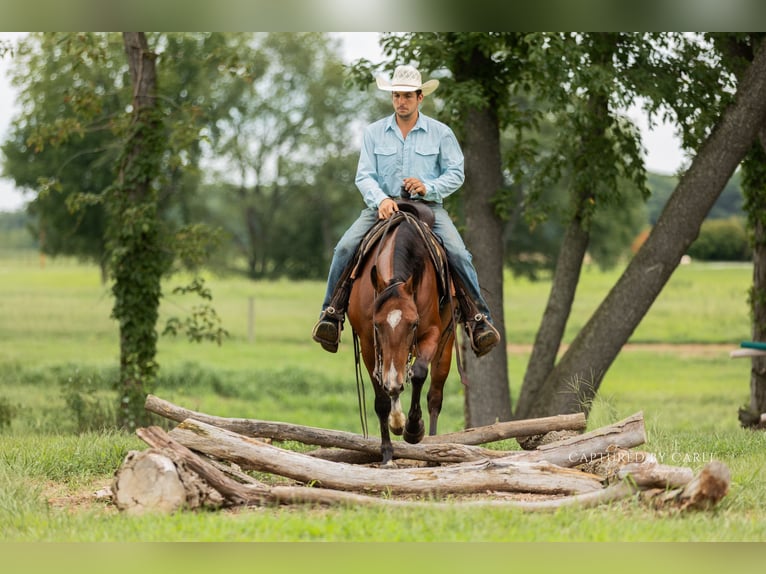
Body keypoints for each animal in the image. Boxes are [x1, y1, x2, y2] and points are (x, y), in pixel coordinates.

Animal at [347, 209, 456, 466]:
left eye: (413, 323)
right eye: (377, 324)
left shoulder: (431, 333)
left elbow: (418, 374)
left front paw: (413, 429)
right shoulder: (368, 343)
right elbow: (382, 398)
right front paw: (387, 453)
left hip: (446, 344)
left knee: (434, 395)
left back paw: (433, 451)